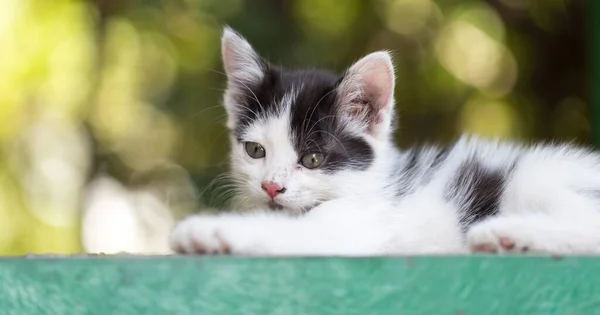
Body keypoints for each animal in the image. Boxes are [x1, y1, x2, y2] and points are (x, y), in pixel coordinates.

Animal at [166, 27, 600, 256]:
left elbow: (294, 234)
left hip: (533, 179)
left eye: (312, 159)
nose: (272, 187)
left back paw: (507, 233)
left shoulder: (362, 224)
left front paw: (210, 231)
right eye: (255, 151)